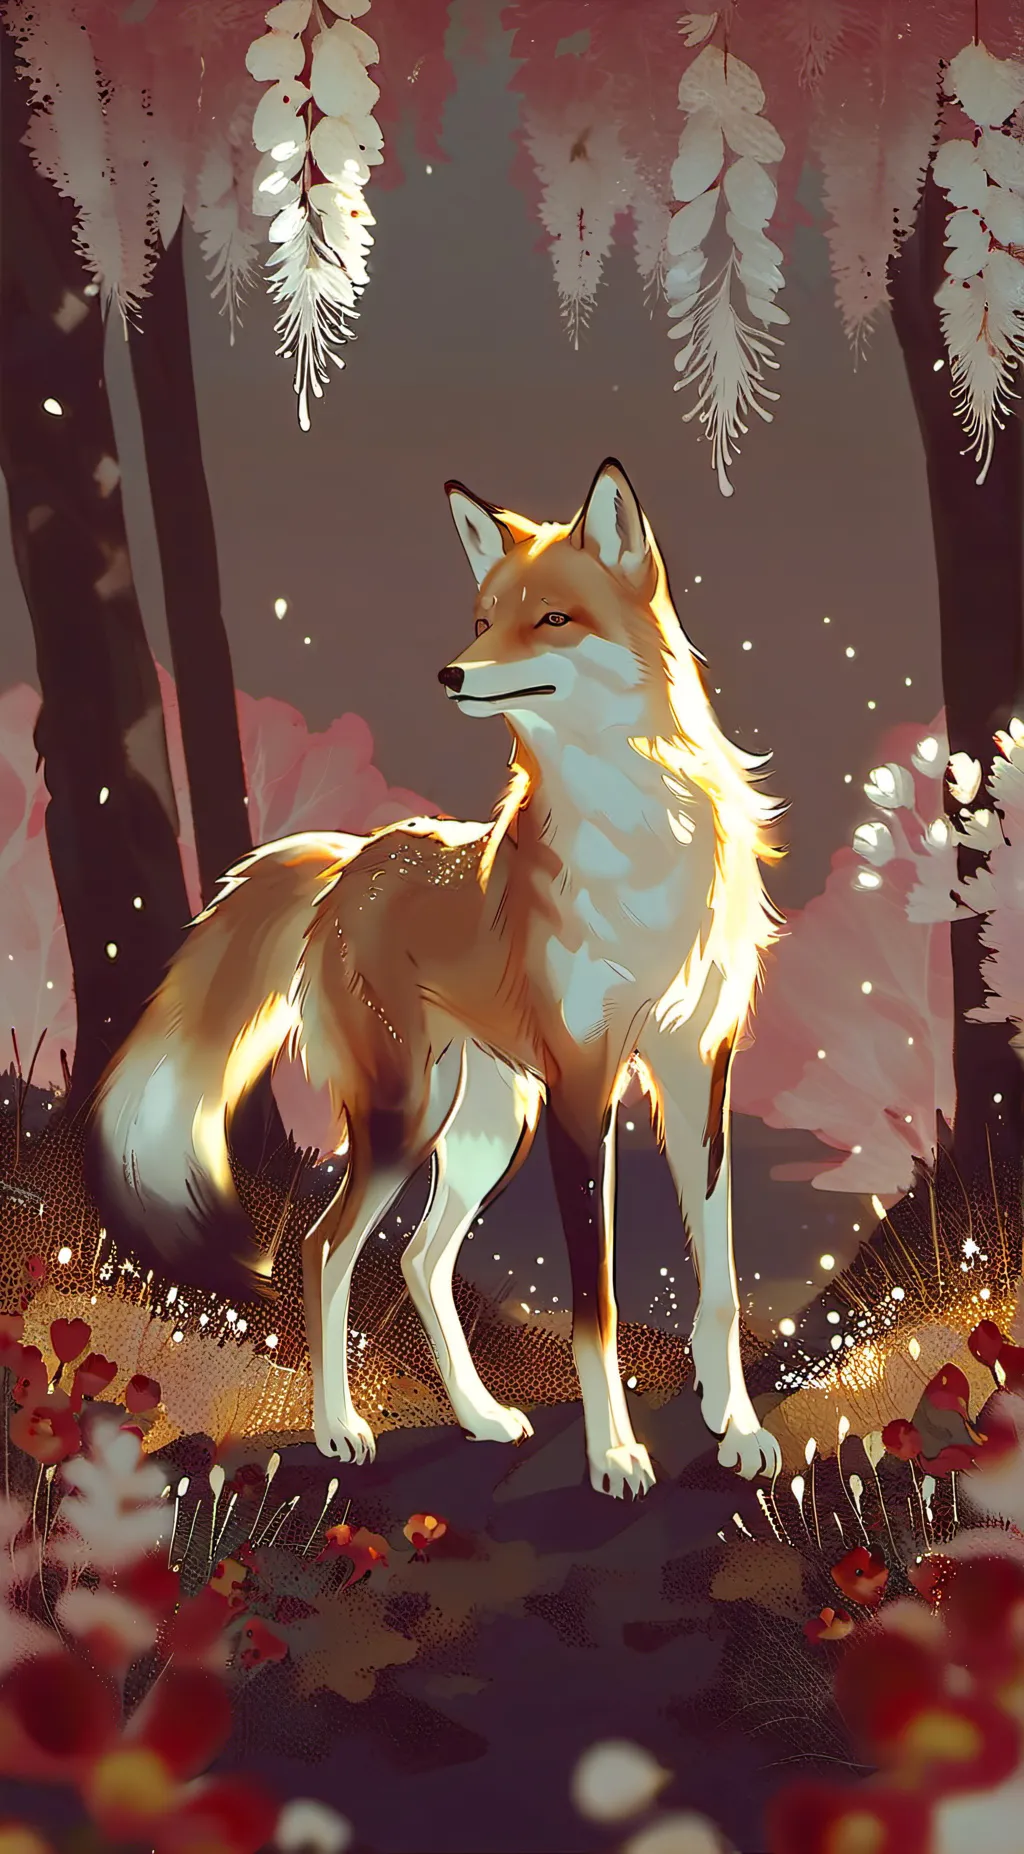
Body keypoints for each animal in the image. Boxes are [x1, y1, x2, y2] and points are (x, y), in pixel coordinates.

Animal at [87, 459, 785, 1499]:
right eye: (483, 616)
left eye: (552, 620)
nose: (451, 673)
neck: (636, 847)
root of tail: (356, 858)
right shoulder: (585, 1087)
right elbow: (596, 1309)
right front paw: (614, 1454)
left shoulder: (700, 1069)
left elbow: (723, 1287)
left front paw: (735, 1429)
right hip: (408, 1114)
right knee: (325, 1247)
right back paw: (341, 1429)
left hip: (489, 1124)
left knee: (420, 1259)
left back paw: (481, 1415)